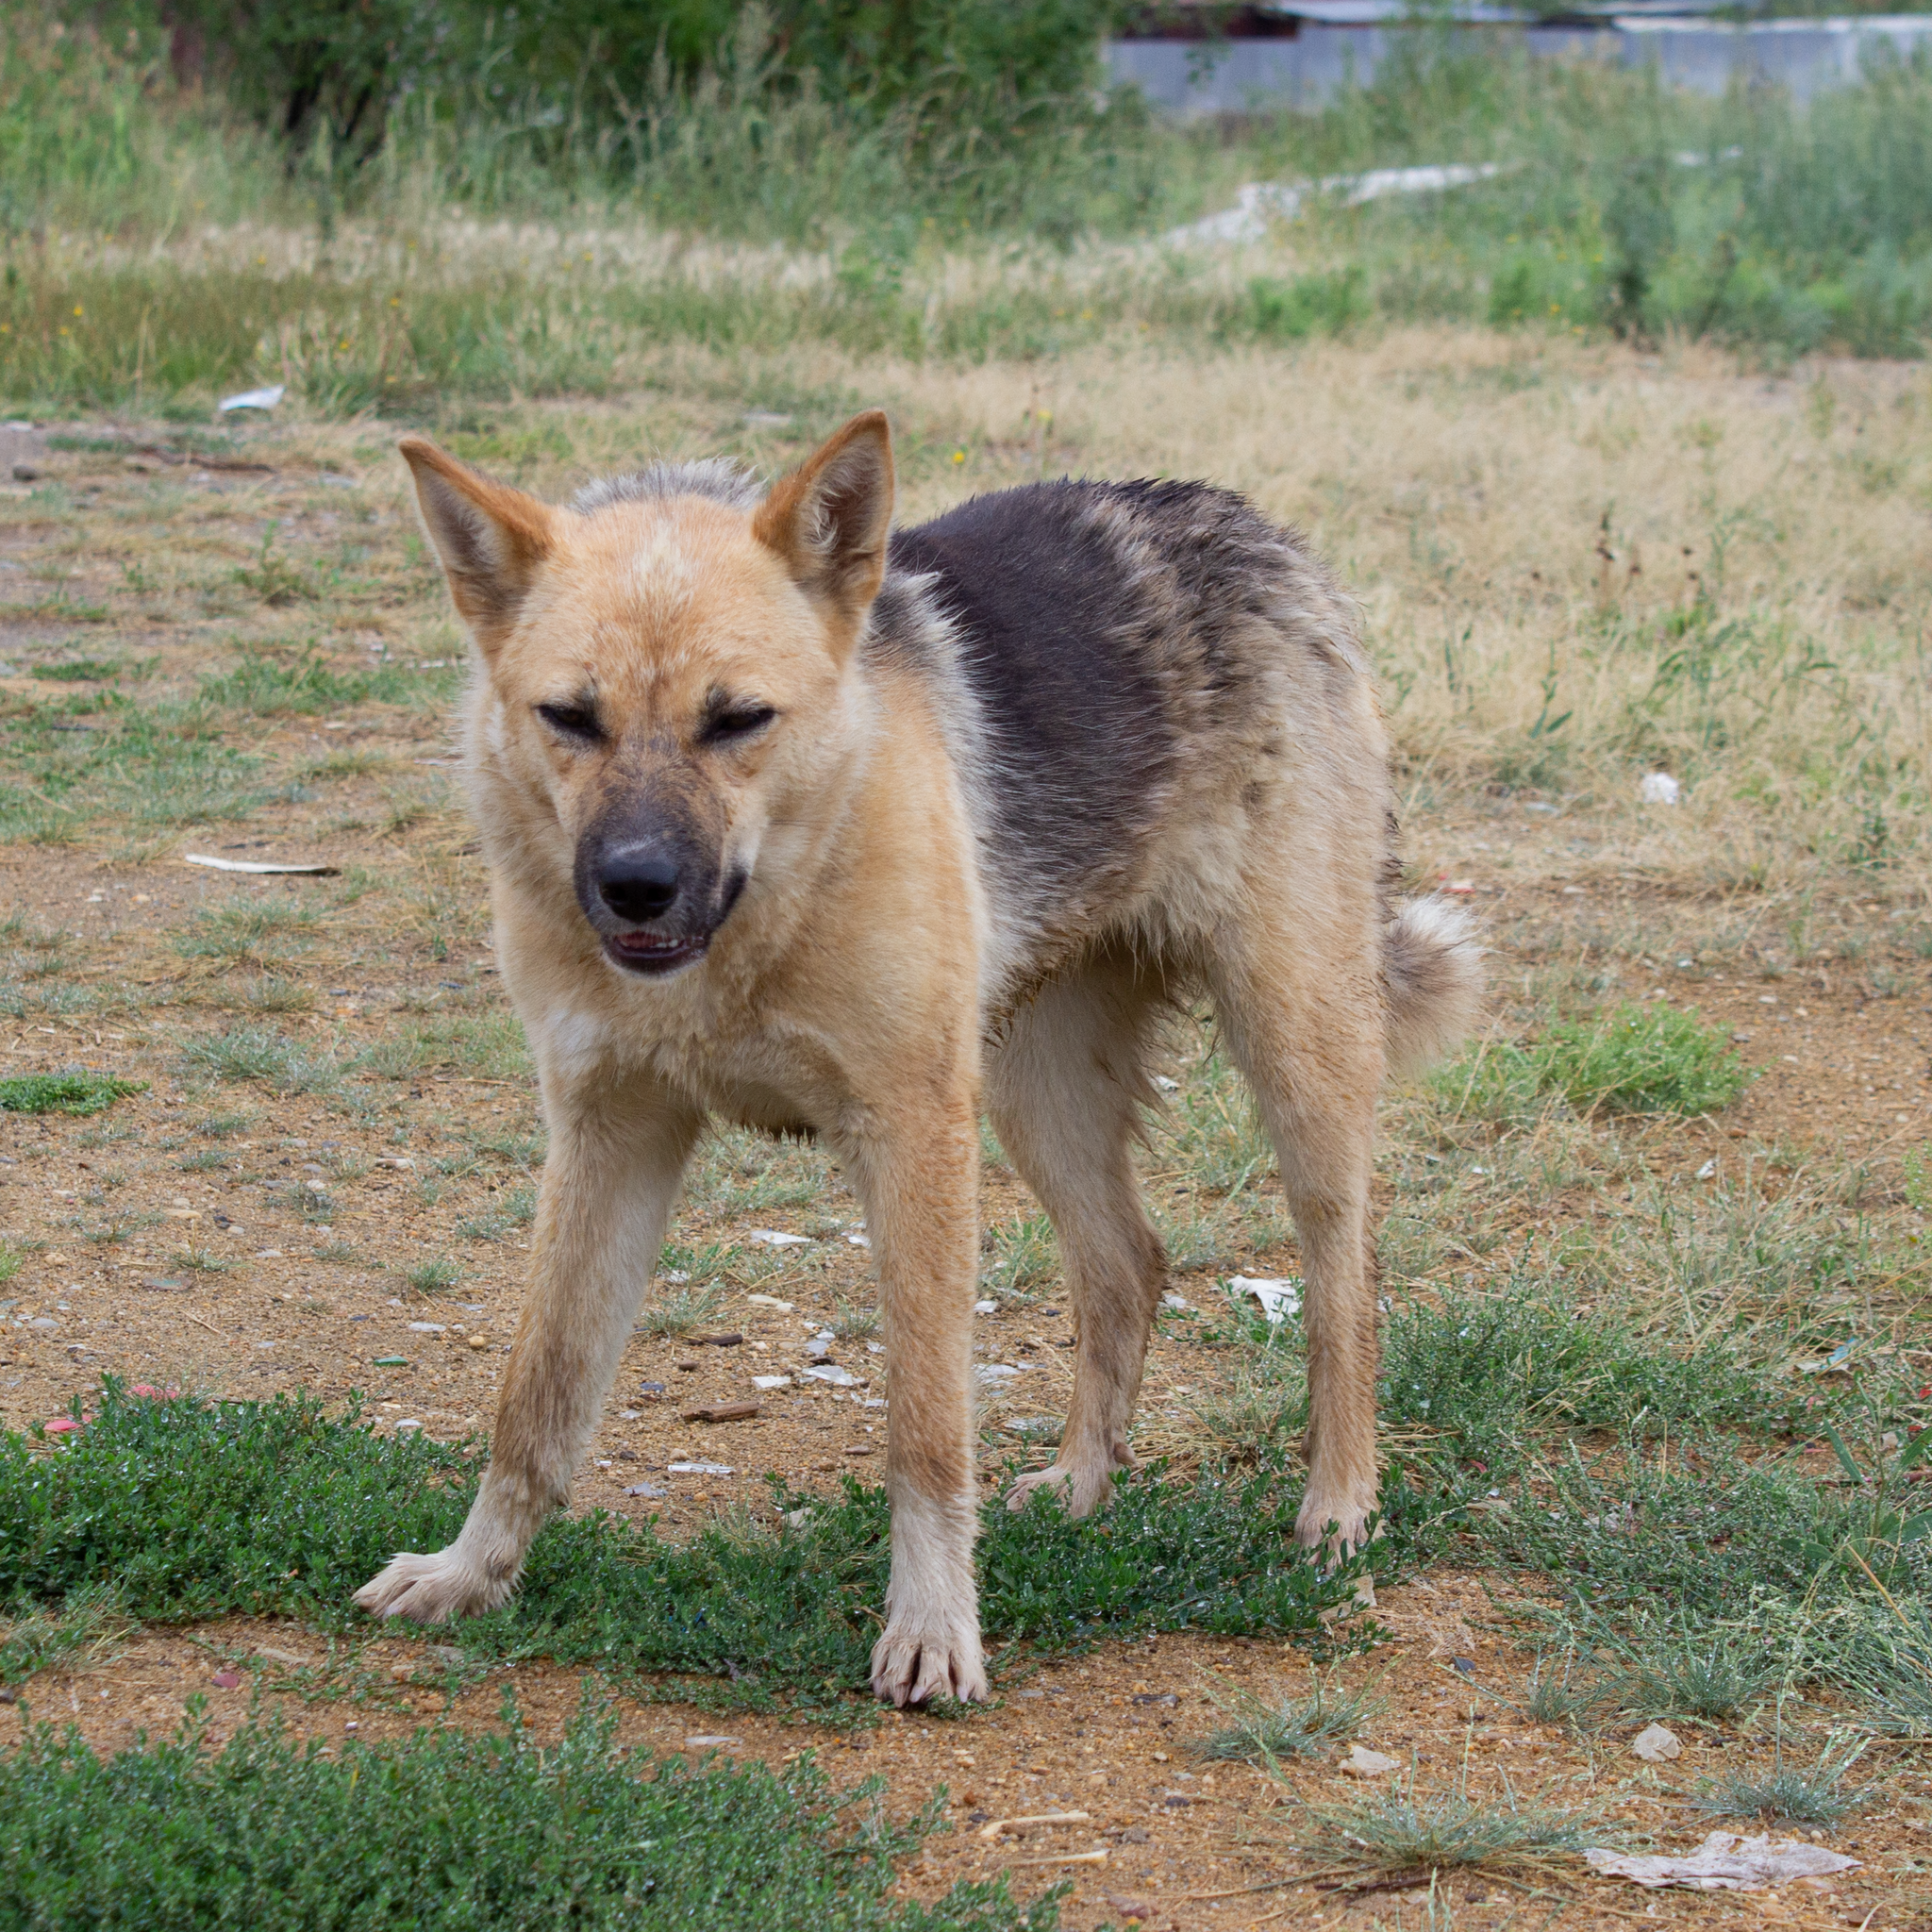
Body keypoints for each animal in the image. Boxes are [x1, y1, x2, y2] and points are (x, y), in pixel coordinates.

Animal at [351, 411, 1475, 1707]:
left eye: (737, 719)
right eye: (569, 717)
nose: (634, 884)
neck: (768, 904)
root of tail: (1246, 523)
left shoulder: (910, 1130)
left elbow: (927, 1428)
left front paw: (935, 1628)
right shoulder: (606, 1133)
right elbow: (533, 1393)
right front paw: (470, 1571)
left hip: (1293, 1052)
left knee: (1346, 1283)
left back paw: (1337, 1511)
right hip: (1038, 1089)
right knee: (1126, 1262)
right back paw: (1084, 1485)